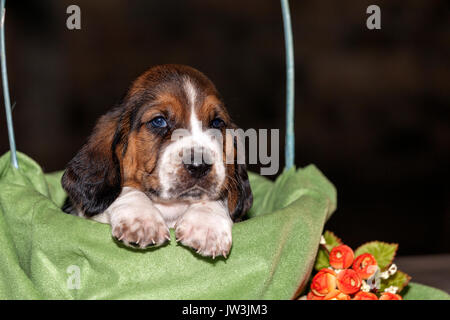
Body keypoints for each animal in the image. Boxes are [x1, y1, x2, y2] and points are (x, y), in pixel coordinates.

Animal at [61, 64, 253, 258]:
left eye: (216, 123)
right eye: (159, 121)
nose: (199, 166)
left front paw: (207, 226)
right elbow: (127, 190)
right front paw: (142, 220)